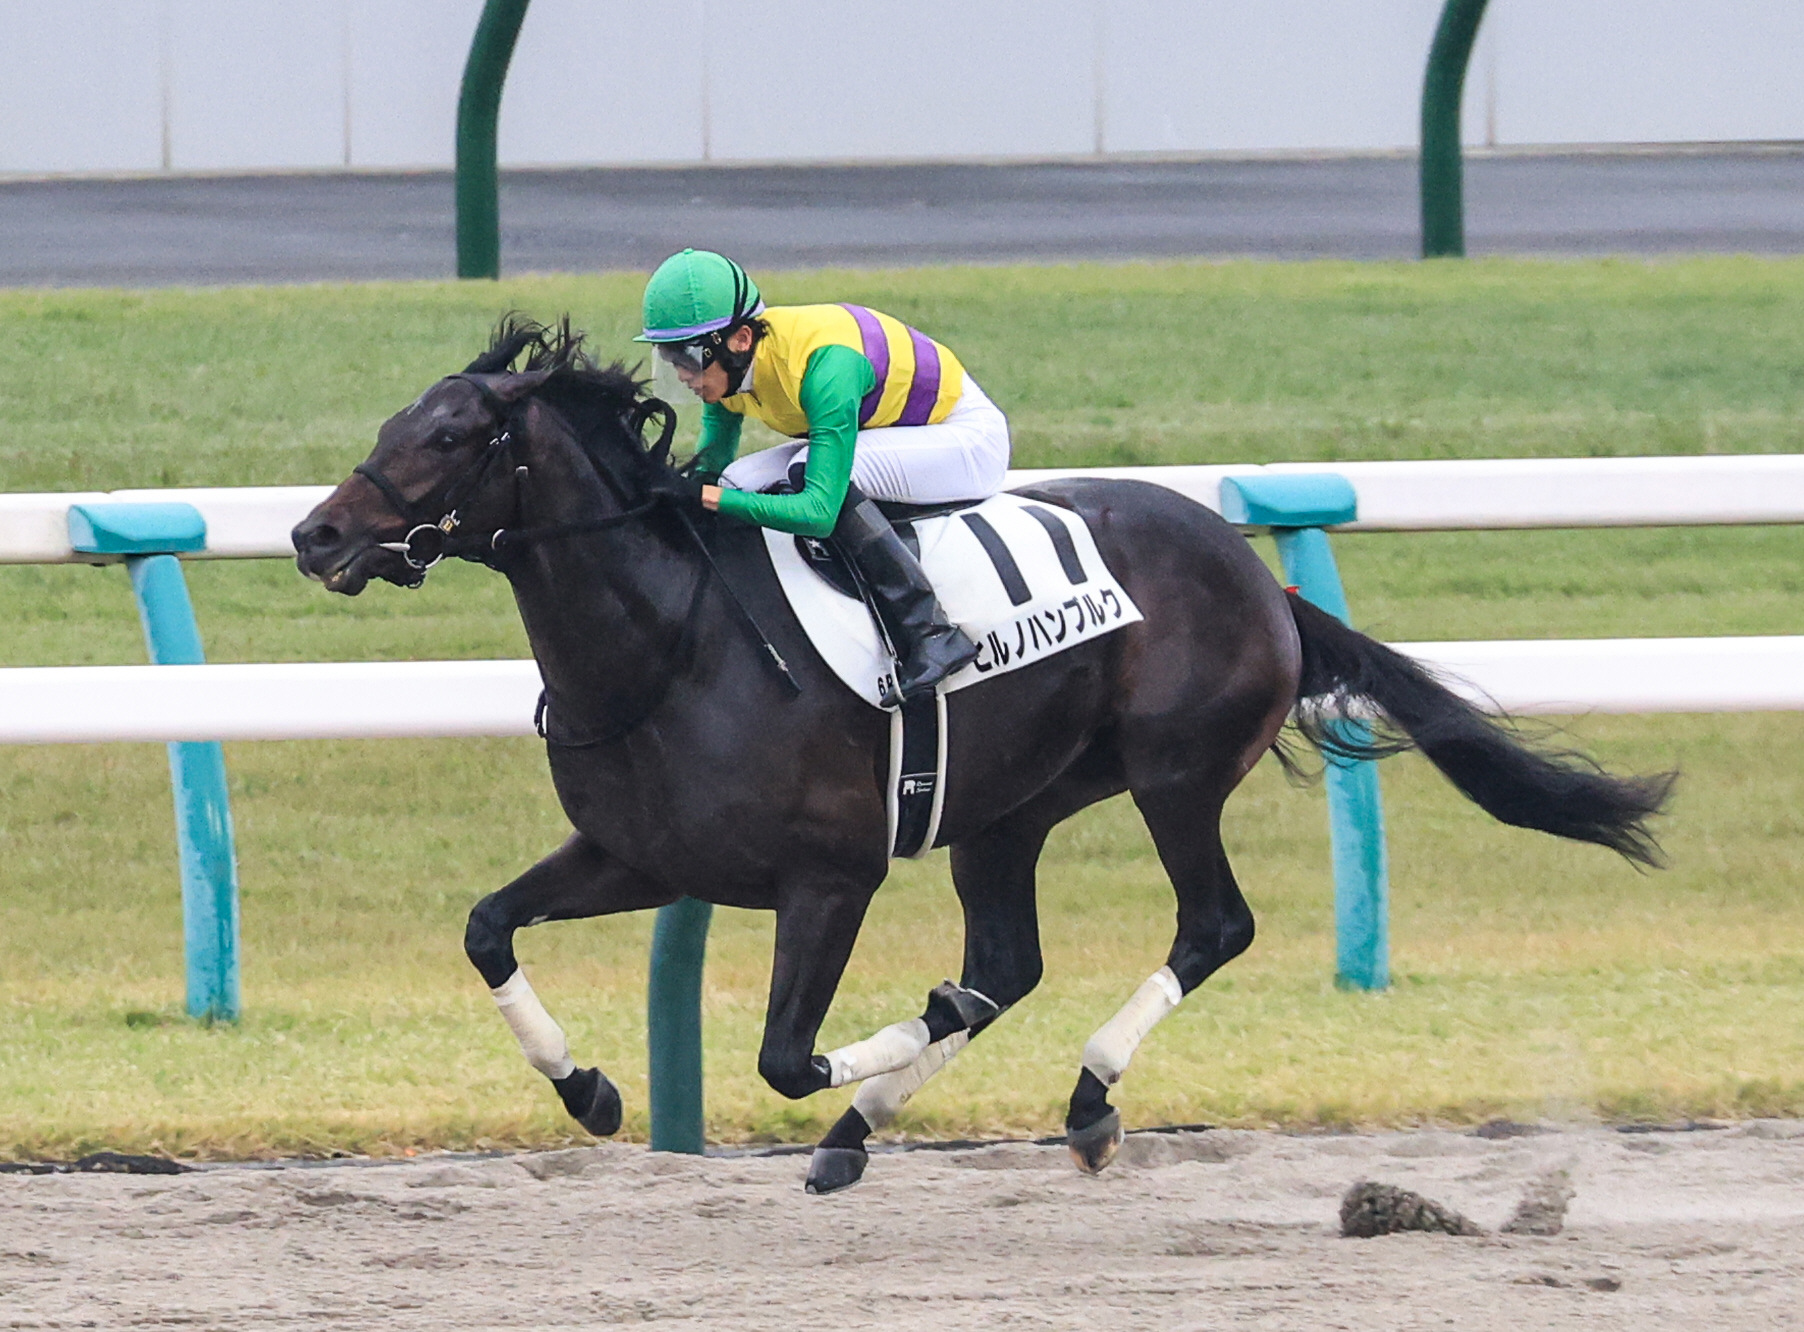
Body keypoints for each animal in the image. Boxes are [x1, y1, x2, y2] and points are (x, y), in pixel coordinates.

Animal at [292, 317, 1673, 1193]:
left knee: (1208, 927)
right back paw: (868, 1131)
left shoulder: (830, 876)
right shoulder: (642, 855)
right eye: (396, 419)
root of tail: (1257, 574)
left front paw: (885, 1045)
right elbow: (486, 927)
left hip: (1173, 775)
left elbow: (785, 1056)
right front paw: (588, 1090)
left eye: (450, 438)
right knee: (1010, 960)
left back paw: (1082, 1099)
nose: (317, 535)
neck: (670, 644)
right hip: (1011, 809)